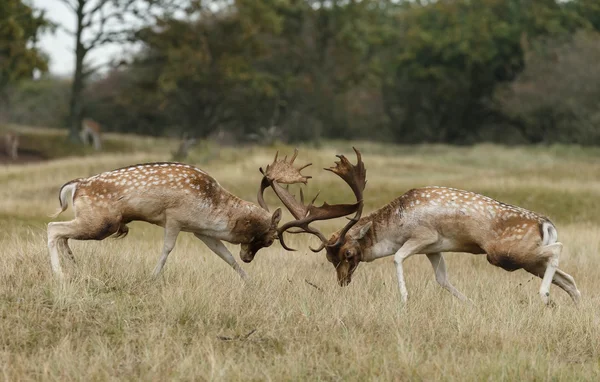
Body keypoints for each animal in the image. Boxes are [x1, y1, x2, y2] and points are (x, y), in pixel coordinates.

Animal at [47, 163, 284, 280]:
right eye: (270, 240)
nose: (248, 258)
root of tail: (76, 185)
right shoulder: (174, 218)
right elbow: (167, 249)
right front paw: (152, 277)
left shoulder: (201, 232)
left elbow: (225, 255)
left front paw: (250, 281)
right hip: (101, 223)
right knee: (53, 228)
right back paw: (59, 275)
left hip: (93, 221)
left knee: (63, 235)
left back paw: (74, 268)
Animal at [258, 148, 580, 306]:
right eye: (329, 258)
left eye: (348, 253)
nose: (342, 282)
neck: (397, 221)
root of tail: (546, 223)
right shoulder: (434, 249)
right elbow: (442, 279)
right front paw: (471, 304)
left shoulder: (422, 237)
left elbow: (398, 257)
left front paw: (403, 299)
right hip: (524, 259)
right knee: (568, 278)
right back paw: (573, 304)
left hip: (505, 254)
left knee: (559, 250)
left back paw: (545, 296)